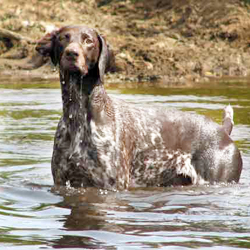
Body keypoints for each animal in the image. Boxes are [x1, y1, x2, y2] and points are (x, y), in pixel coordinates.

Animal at [35, 25, 242, 189]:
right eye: (63, 38)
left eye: (88, 41)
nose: (72, 53)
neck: (77, 115)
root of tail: (223, 130)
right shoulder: (63, 181)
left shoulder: (112, 185)